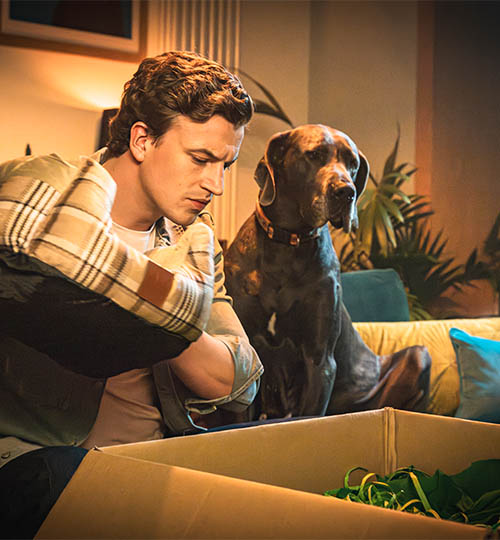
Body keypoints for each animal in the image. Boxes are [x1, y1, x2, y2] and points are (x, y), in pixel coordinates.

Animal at [223, 125, 430, 422]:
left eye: (353, 164)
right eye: (314, 155)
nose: (346, 192)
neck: (288, 246)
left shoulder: (320, 360)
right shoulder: (246, 354)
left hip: (418, 355)